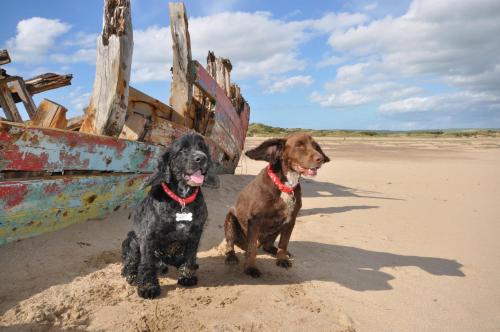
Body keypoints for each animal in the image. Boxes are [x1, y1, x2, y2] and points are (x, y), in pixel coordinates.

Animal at [122, 132, 218, 298]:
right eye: (182, 149)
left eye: (202, 148)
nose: (202, 158)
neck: (182, 199)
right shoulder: (149, 235)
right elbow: (146, 263)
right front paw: (148, 287)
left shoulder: (195, 233)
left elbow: (190, 256)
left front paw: (187, 276)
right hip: (133, 239)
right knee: (132, 261)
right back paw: (130, 274)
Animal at [225, 131, 330, 276]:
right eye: (299, 145)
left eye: (315, 146)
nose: (320, 159)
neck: (286, 185)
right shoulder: (254, 221)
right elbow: (252, 249)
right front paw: (250, 268)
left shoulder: (290, 221)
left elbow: (283, 244)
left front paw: (282, 259)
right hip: (230, 220)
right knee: (232, 243)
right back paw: (231, 256)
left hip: (277, 228)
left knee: (268, 246)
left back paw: (277, 252)